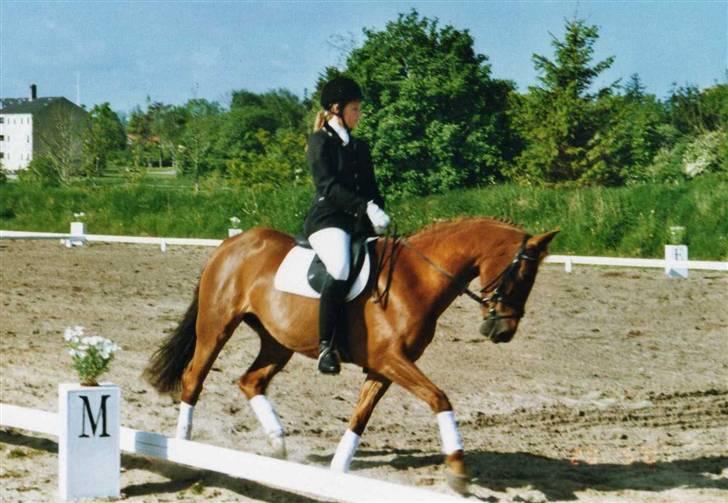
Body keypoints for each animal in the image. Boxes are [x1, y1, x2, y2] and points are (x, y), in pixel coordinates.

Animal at [144, 217, 558, 493]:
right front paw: (457, 470)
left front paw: (338, 468)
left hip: (278, 341)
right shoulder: (392, 360)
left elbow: (360, 416)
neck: (416, 279)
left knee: (251, 381)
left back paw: (277, 445)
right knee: (194, 378)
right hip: (216, 327)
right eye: (520, 276)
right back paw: (184, 447)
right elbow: (440, 399)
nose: (503, 332)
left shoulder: (384, 367)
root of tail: (230, 245)